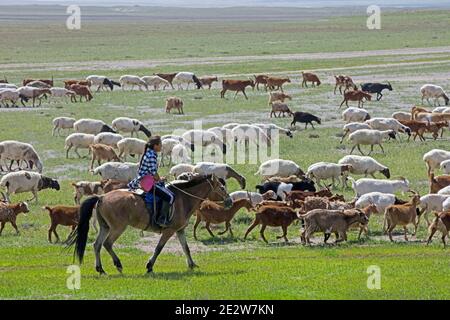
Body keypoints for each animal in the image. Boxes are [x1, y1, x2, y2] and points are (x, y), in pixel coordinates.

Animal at [70, 174, 232, 274]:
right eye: (222, 188)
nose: (229, 201)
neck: (183, 199)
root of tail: (101, 197)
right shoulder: (169, 231)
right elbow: (158, 248)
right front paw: (149, 266)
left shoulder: (179, 230)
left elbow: (186, 248)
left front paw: (192, 265)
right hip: (117, 228)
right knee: (107, 244)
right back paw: (118, 264)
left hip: (105, 227)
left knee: (97, 245)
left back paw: (101, 269)